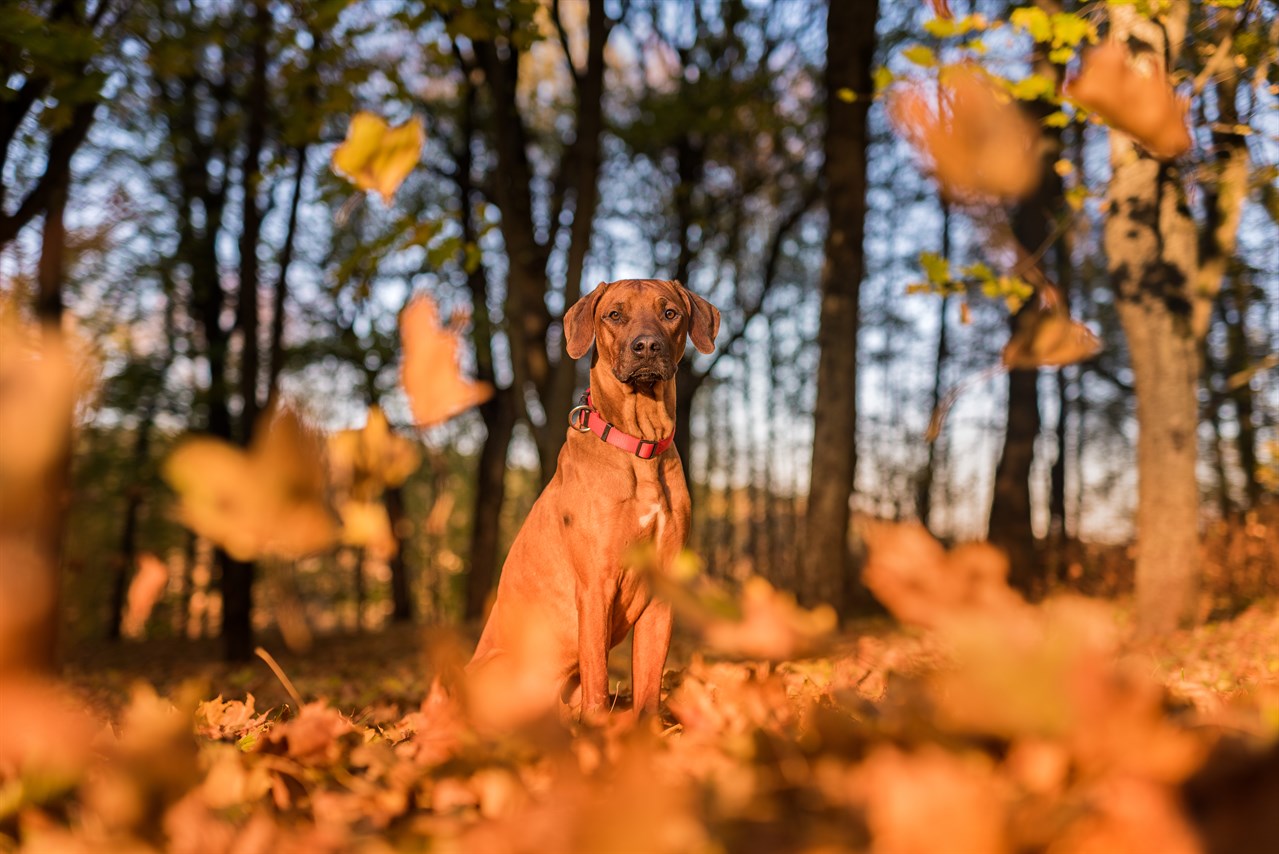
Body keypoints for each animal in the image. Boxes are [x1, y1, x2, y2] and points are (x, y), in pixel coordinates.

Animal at [468, 277, 721, 726]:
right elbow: (598, 680)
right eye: (614, 314)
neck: (639, 447)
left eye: (670, 313)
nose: (646, 346)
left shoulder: (661, 592)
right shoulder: (595, 586)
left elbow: (649, 680)